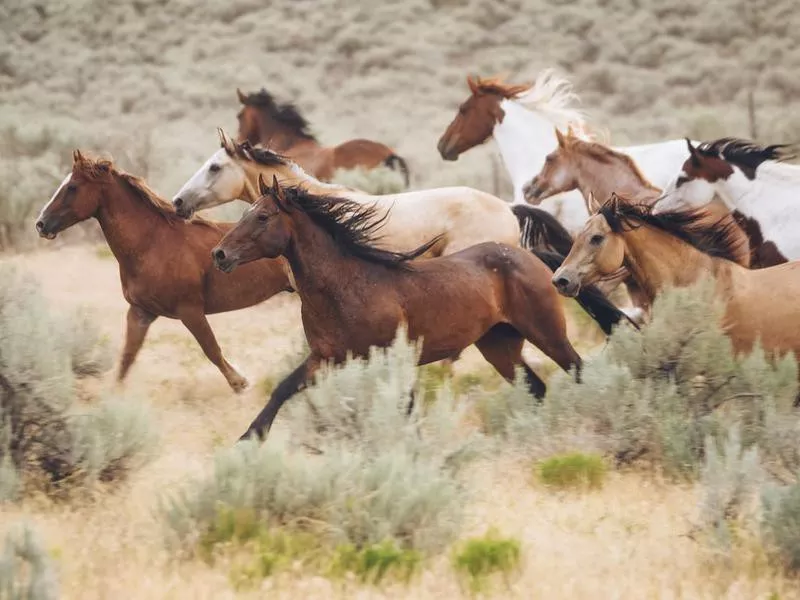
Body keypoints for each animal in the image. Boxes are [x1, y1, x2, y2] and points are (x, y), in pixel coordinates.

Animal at [33, 152, 294, 392]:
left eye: (72, 187)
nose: (41, 224)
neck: (152, 242)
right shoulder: (140, 312)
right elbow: (126, 359)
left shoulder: (190, 311)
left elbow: (212, 349)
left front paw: (240, 383)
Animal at [212, 173, 636, 440]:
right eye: (246, 212)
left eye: (262, 216)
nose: (219, 255)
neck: (346, 285)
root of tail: (531, 256)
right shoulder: (326, 357)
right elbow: (283, 389)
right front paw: (250, 438)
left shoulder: (389, 356)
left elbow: (408, 405)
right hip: (499, 346)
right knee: (536, 387)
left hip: (547, 333)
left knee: (578, 370)